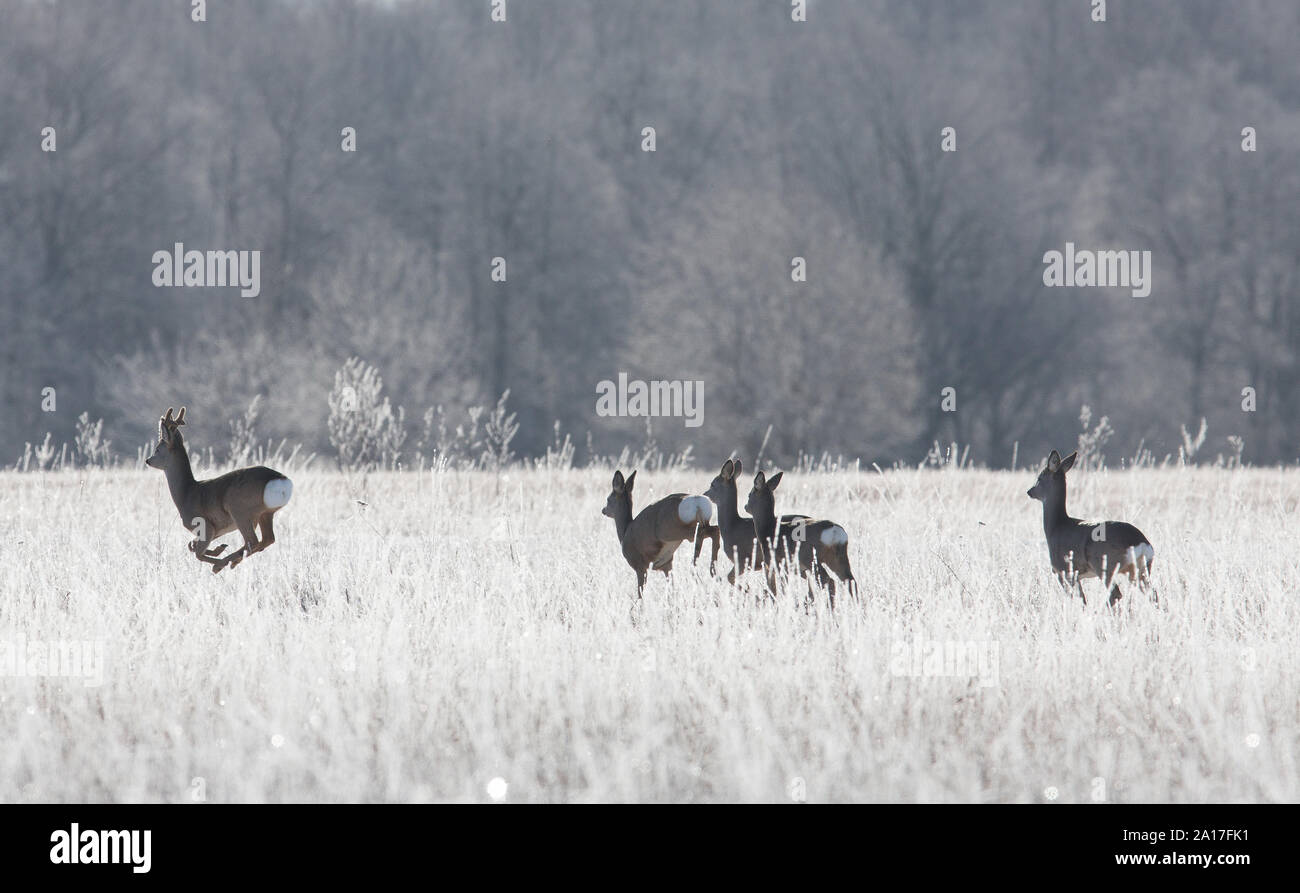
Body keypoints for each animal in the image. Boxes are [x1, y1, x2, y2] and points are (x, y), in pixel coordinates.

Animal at [146, 405, 293, 571]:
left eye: (157, 449)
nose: (147, 460)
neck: (186, 493)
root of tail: (280, 480)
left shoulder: (205, 525)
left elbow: (197, 553)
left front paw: (217, 557)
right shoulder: (215, 531)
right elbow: (191, 545)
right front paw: (218, 549)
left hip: (239, 510)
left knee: (253, 541)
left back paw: (222, 565)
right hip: (265, 514)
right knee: (267, 539)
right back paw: (231, 560)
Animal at [748, 467, 857, 608]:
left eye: (749, 494)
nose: (745, 506)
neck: (768, 529)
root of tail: (834, 531)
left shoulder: (775, 563)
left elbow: (779, 587)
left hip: (811, 558)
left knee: (829, 580)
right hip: (839, 557)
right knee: (850, 581)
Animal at [1024, 447, 1159, 608]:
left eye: (1040, 478)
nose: (1030, 491)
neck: (1056, 526)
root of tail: (1140, 543)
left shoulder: (1064, 571)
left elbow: (1080, 600)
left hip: (1105, 565)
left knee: (1115, 595)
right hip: (1142, 568)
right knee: (1153, 594)